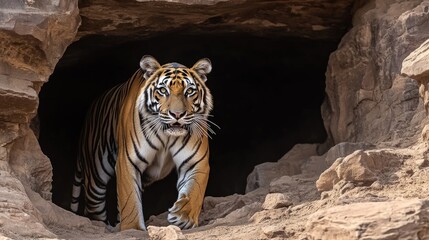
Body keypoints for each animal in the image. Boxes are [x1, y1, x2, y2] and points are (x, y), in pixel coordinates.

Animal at [70, 54, 214, 231]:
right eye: (163, 90)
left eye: (190, 91)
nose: (177, 114)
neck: (167, 136)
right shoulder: (127, 161)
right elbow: (130, 200)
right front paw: (132, 228)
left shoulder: (196, 161)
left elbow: (195, 190)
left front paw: (183, 216)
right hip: (96, 175)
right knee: (94, 208)